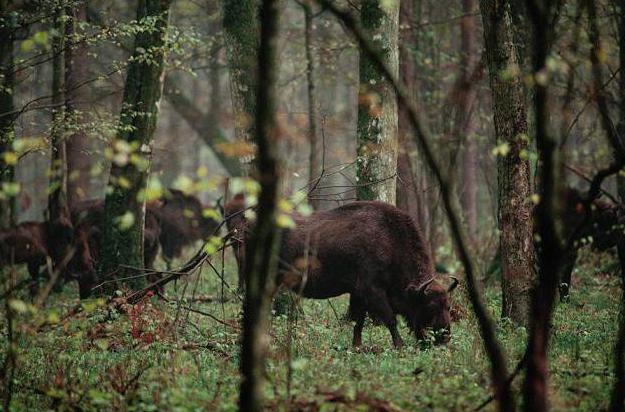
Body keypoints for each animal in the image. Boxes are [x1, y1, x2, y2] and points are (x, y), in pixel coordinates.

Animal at [225, 195, 458, 350]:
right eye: (429, 305)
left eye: (448, 305)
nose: (445, 337)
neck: (390, 240)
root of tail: (248, 226)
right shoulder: (372, 290)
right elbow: (389, 319)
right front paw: (399, 345)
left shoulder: (359, 294)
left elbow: (358, 322)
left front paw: (357, 347)